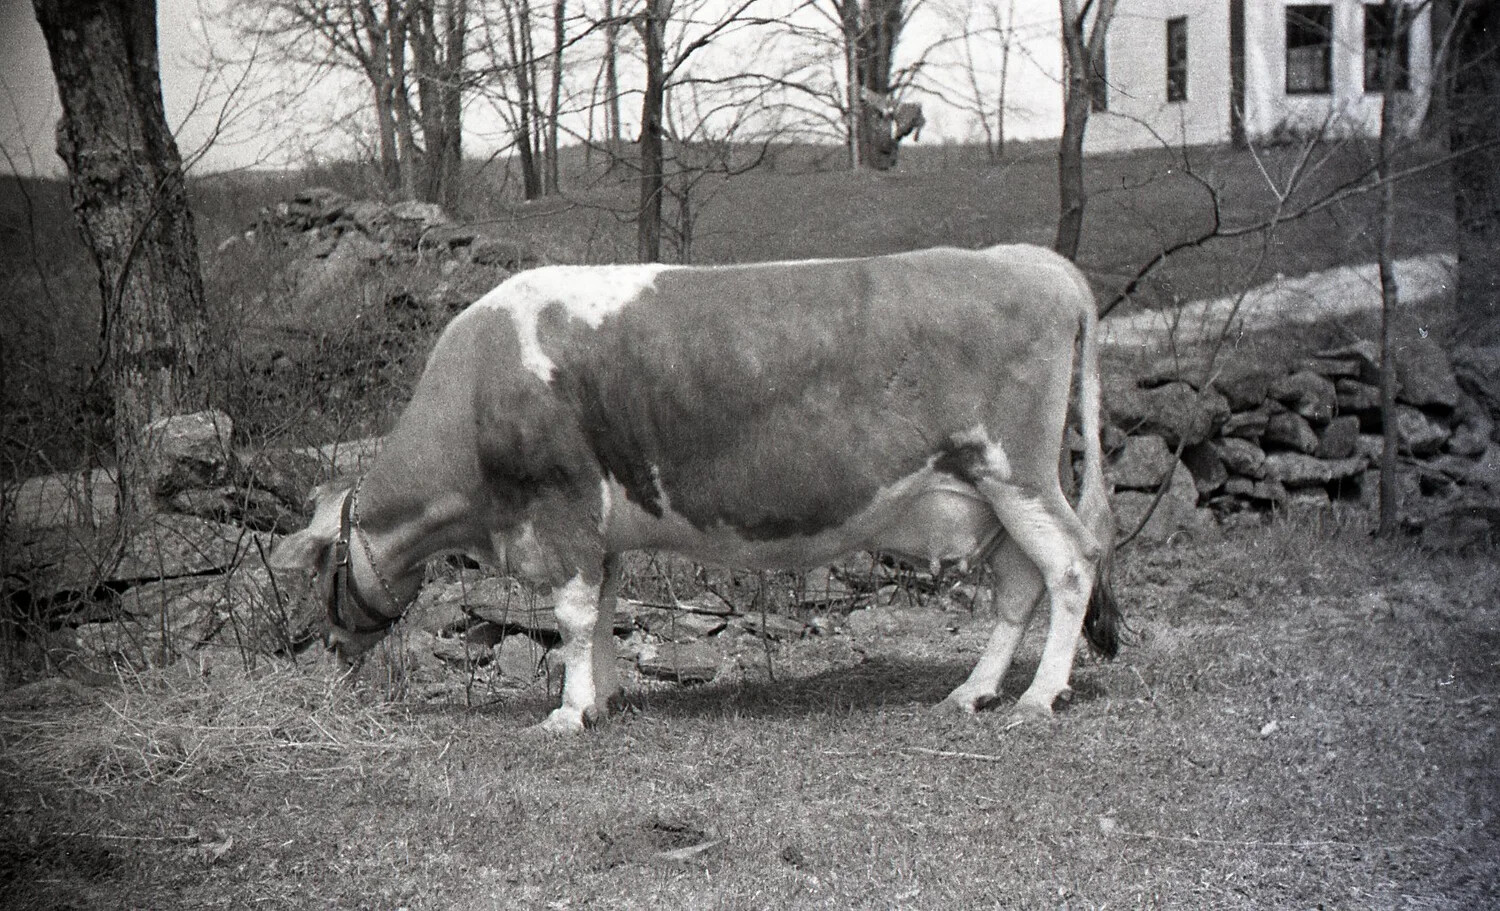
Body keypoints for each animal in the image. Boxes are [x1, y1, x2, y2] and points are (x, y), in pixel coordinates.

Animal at [270, 244, 1121, 734]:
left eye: (321, 572)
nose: (329, 650)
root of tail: (1027, 258)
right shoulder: (603, 529)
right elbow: (604, 610)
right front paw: (603, 697)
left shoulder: (561, 507)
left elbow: (573, 616)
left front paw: (568, 712)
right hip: (994, 490)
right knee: (1019, 584)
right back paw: (974, 691)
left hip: (1015, 470)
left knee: (1071, 564)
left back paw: (1039, 697)